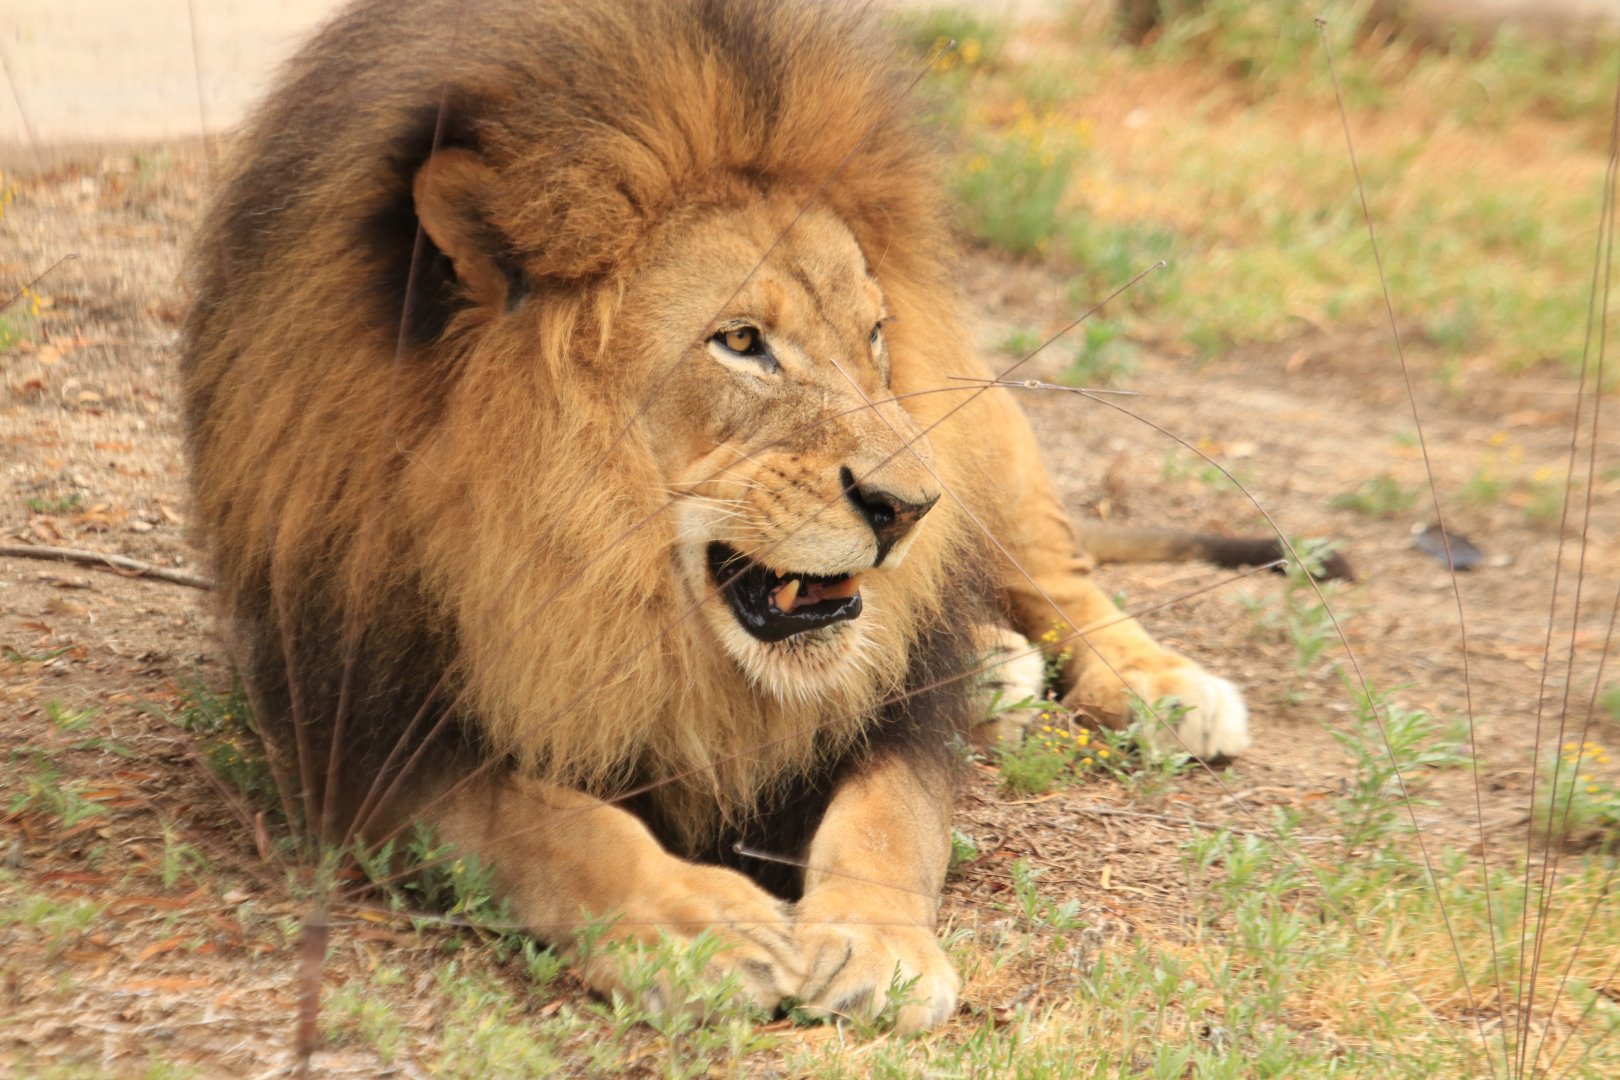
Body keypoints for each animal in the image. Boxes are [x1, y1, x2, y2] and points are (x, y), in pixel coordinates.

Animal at [181, 0, 1254, 1032]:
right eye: (740, 342)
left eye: (874, 334)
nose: (910, 509)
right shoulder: (359, 730)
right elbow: (549, 824)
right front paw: (697, 929)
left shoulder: (900, 712)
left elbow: (890, 816)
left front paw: (880, 948)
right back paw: (998, 666)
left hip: (985, 427)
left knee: (1056, 571)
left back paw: (1160, 685)